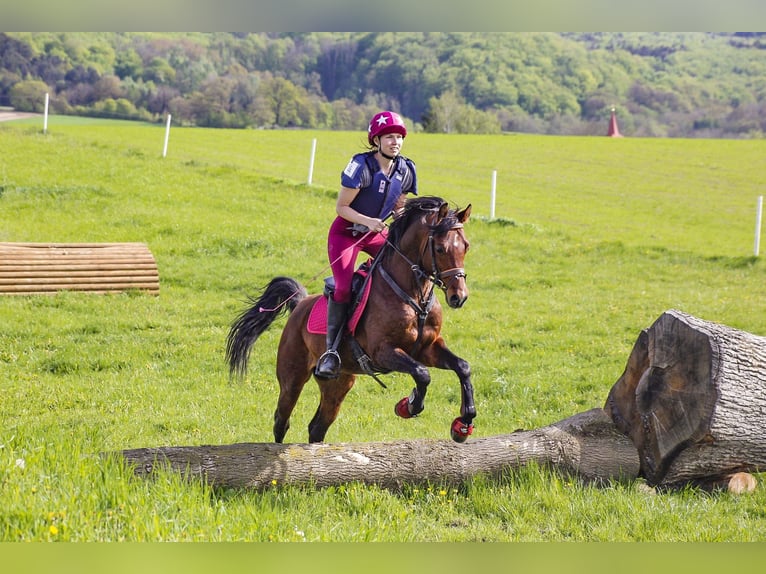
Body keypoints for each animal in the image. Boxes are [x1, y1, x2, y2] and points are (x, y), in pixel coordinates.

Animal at [225, 195, 476, 444]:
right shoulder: (382, 352)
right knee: (281, 419)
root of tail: (300, 305)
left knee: (317, 427)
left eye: (466, 246)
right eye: (440, 249)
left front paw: (463, 424)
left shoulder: (427, 347)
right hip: (292, 377)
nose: (459, 297)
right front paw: (409, 405)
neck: (415, 297)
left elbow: (462, 366)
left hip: (339, 381)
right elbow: (422, 373)